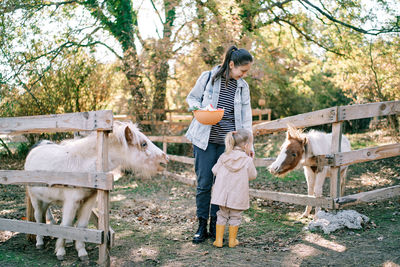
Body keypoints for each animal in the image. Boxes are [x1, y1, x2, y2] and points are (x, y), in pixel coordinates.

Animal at [24, 121, 169, 262]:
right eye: (144, 143)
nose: (166, 158)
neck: (84, 169)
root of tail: (36, 148)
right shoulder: (71, 201)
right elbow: (65, 225)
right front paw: (60, 251)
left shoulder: (88, 201)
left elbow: (80, 225)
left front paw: (81, 251)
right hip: (35, 198)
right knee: (38, 217)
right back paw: (40, 242)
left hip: (46, 198)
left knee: (46, 215)